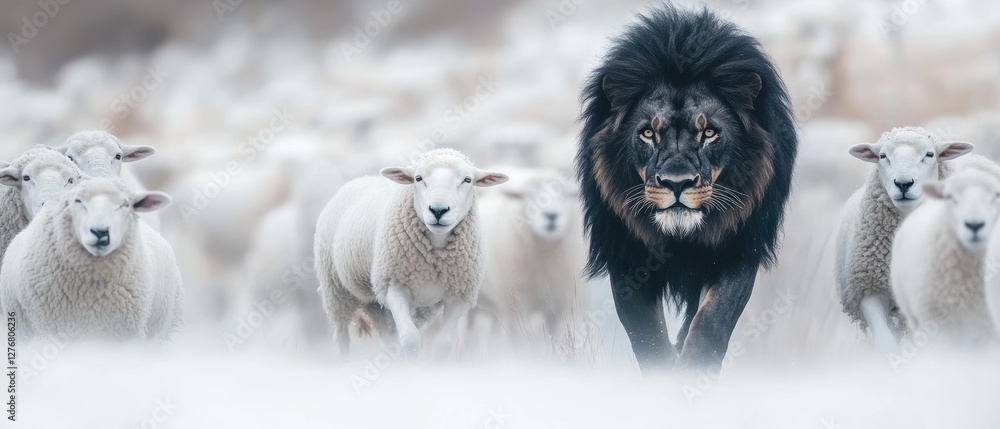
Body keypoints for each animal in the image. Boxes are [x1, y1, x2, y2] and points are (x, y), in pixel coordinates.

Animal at [314, 148, 508, 358]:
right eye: (418, 178)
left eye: (467, 180)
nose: (438, 210)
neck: (435, 252)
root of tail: (361, 178)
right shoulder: (394, 286)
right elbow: (410, 339)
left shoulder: (459, 294)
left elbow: (443, 344)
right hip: (335, 289)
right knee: (342, 336)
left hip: (383, 303)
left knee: (388, 338)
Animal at [474, 167, 588, 345]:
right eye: (526, 196)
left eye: (565, 197)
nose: (551, 216)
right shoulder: (517, 305)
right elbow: (520, 338)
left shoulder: (559, 305)